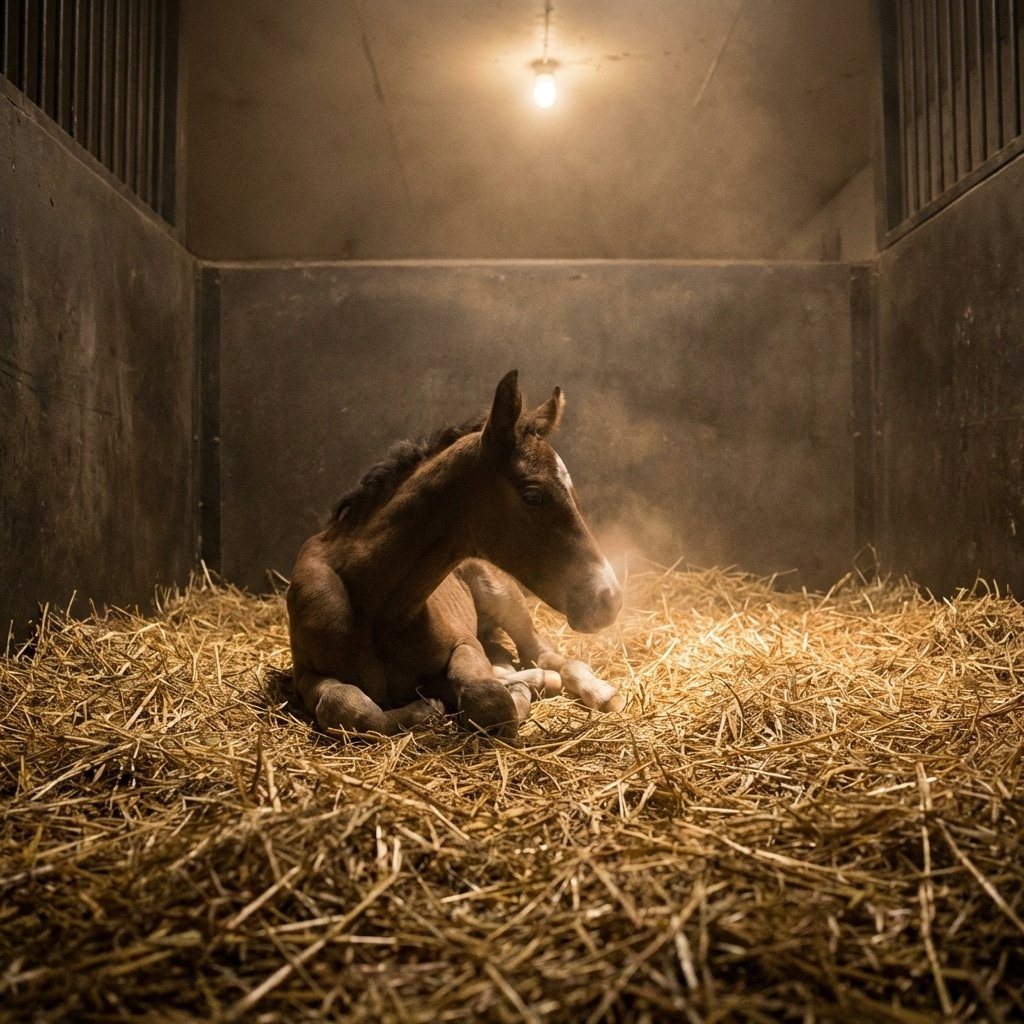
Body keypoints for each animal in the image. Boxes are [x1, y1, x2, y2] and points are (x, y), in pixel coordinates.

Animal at [286, 370, 624, 742]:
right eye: (534, 496)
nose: (609, 599)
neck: (374, 602)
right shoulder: (307, 674)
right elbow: (349, 707)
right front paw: (428, 707)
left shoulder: (464, 643)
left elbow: (489, 699)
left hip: (505, 597)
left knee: (545, 656)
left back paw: (598, 692)